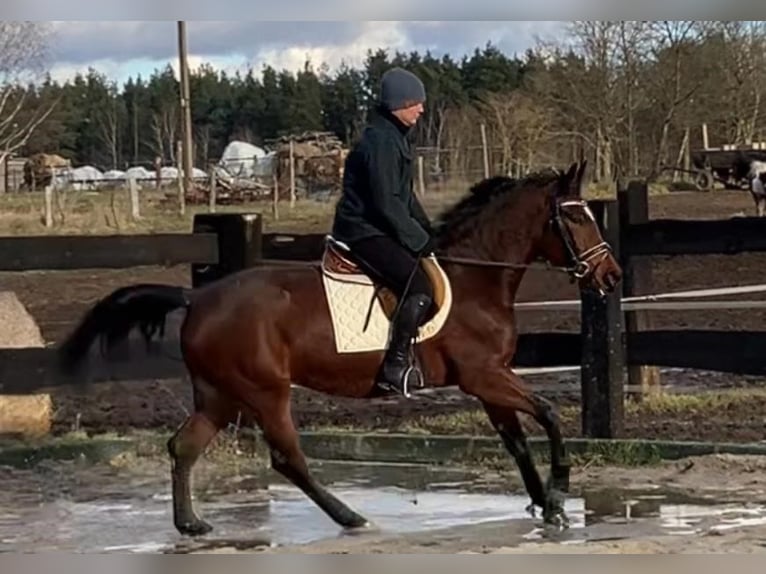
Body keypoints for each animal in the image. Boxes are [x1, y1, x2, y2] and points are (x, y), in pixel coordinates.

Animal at [58, 161, 624, 540]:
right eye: (576, 220)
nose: (611, 277)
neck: (475, 279)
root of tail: (197, 297)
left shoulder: (489, 382)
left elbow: (517, 441)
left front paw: (546, 505)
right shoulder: (483, 376)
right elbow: (548, 414)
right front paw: (558, 492)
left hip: (221, 395)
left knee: (184, 446)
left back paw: (191, 524)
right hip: (265, 392)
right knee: (287, 460)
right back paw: (351, 517)